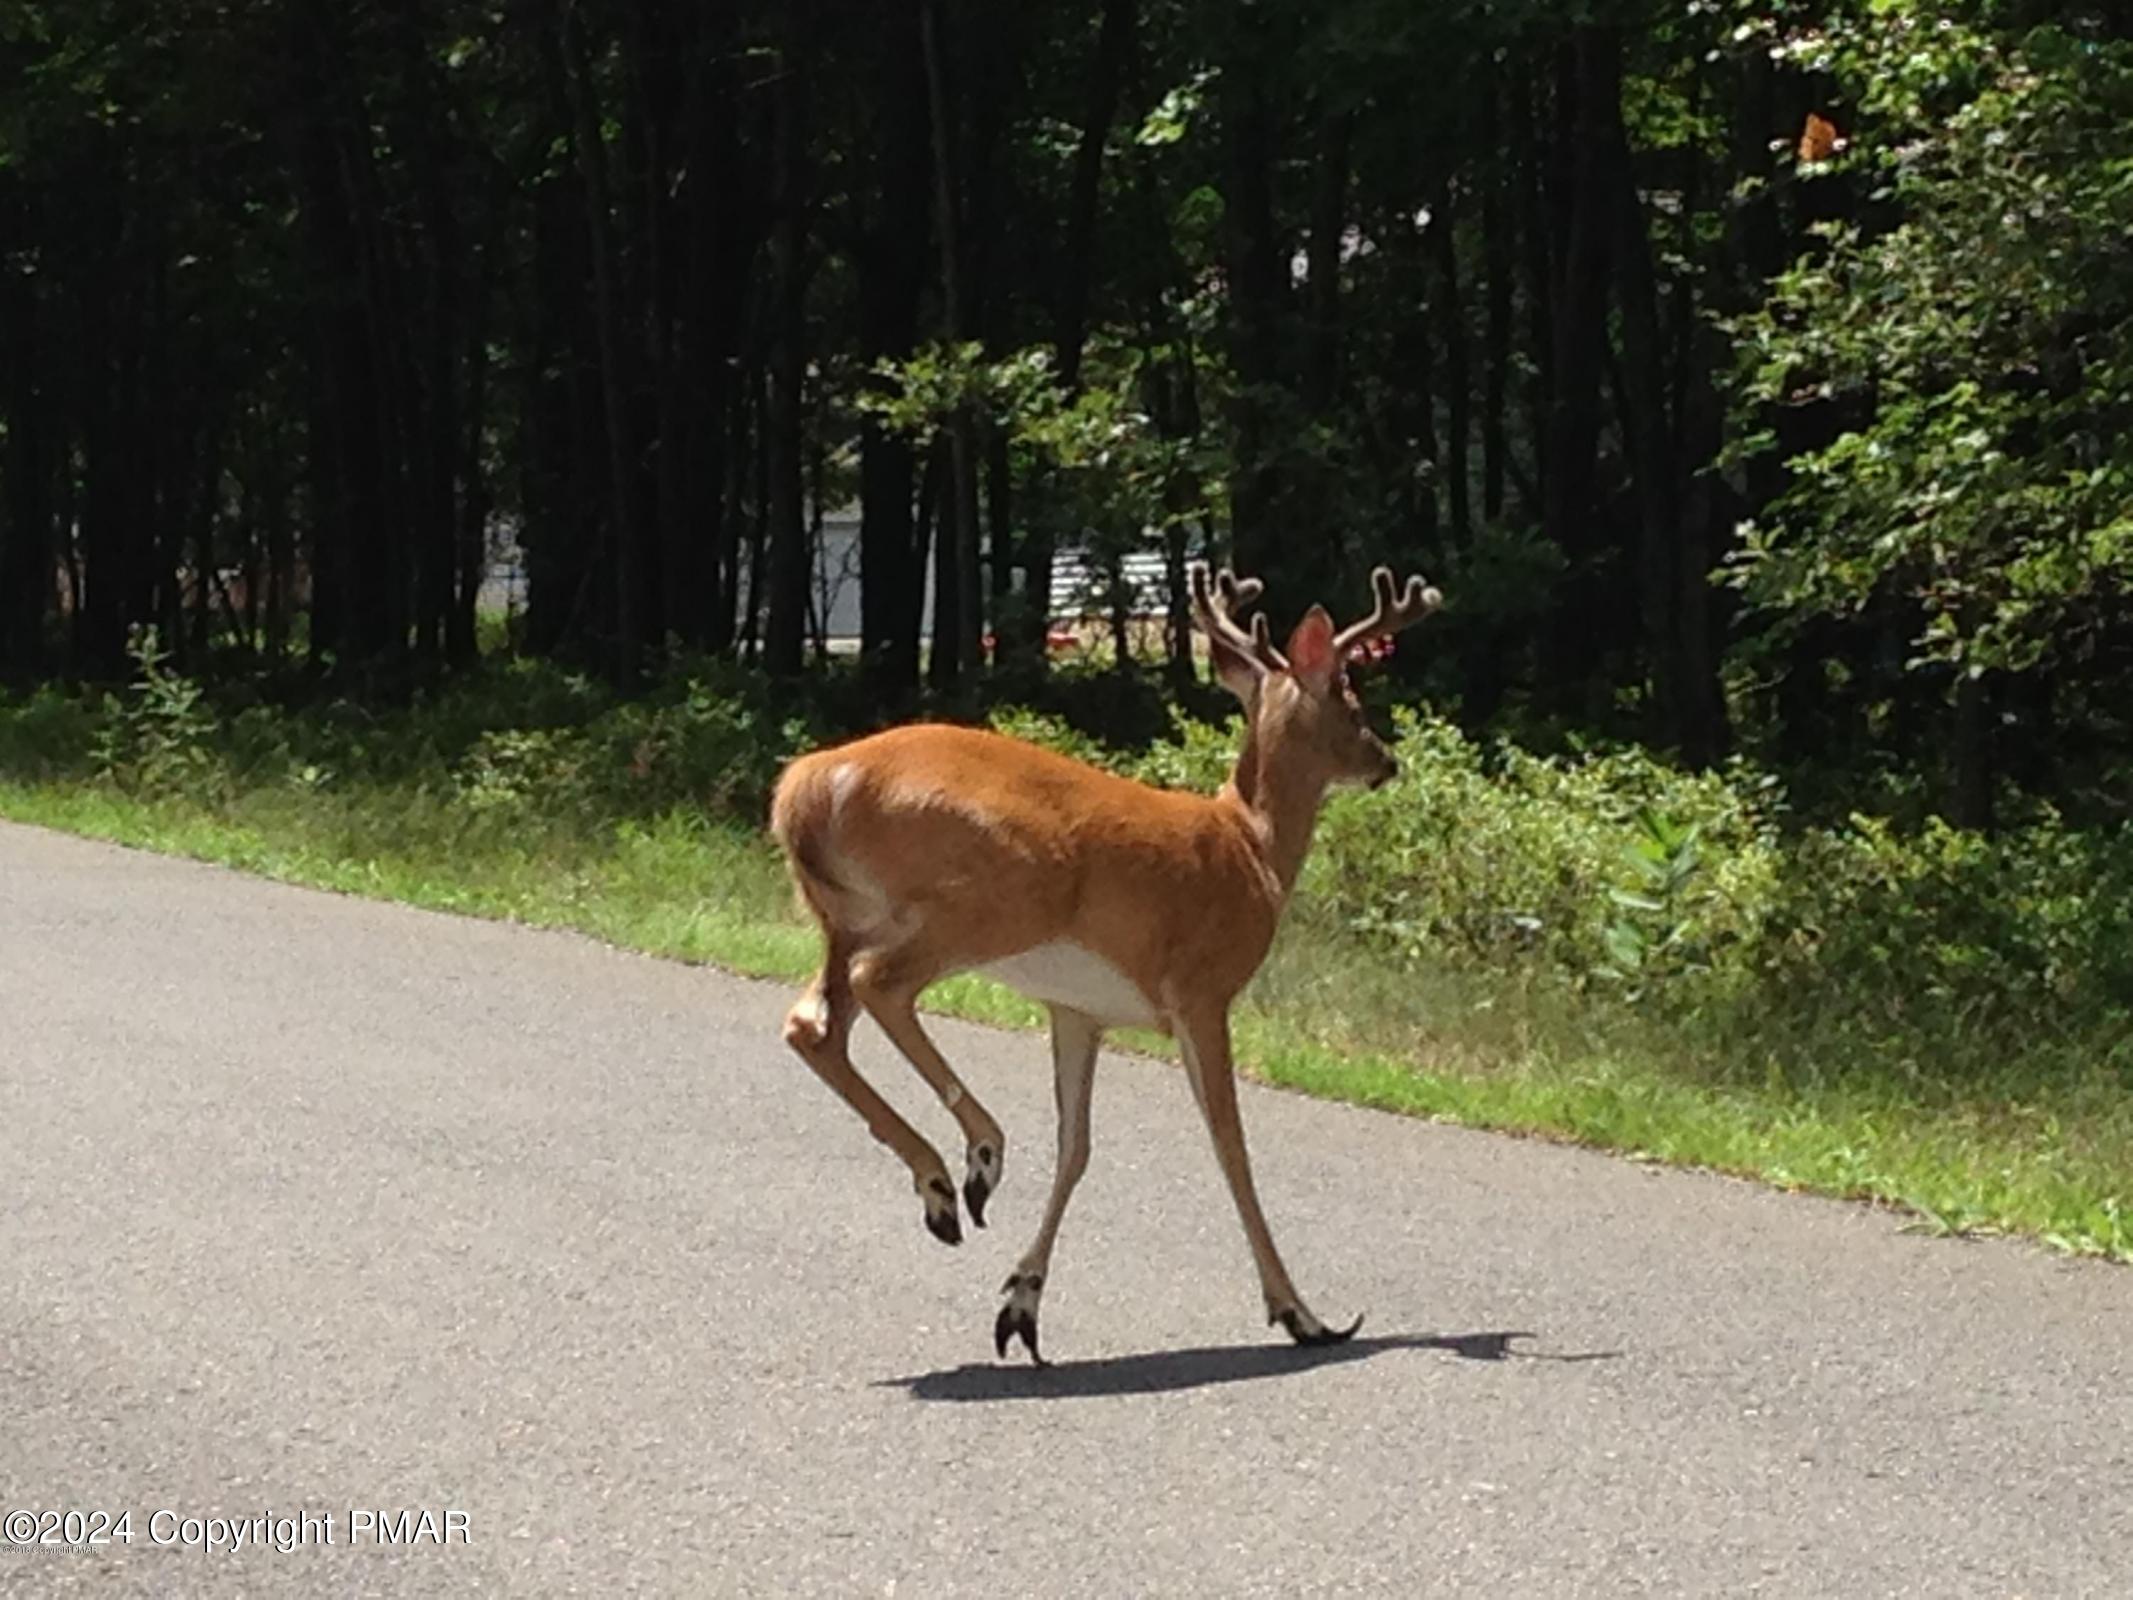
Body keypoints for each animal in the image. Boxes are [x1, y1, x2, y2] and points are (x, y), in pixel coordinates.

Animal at [776, 563, 1441, 1365]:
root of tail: (811, 784)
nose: (1386, 761)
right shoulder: (1200, 989)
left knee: (812, 1024)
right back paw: (979, 1152)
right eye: (1351, 699)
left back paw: (941, 1188)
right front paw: (1301, 1314)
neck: (1251, 847)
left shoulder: (1078, 1009)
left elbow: (1077, 1147)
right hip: (984, 903)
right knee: (880, 986)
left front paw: (1021, 1304)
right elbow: (1231, 1147)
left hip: (845, 921)